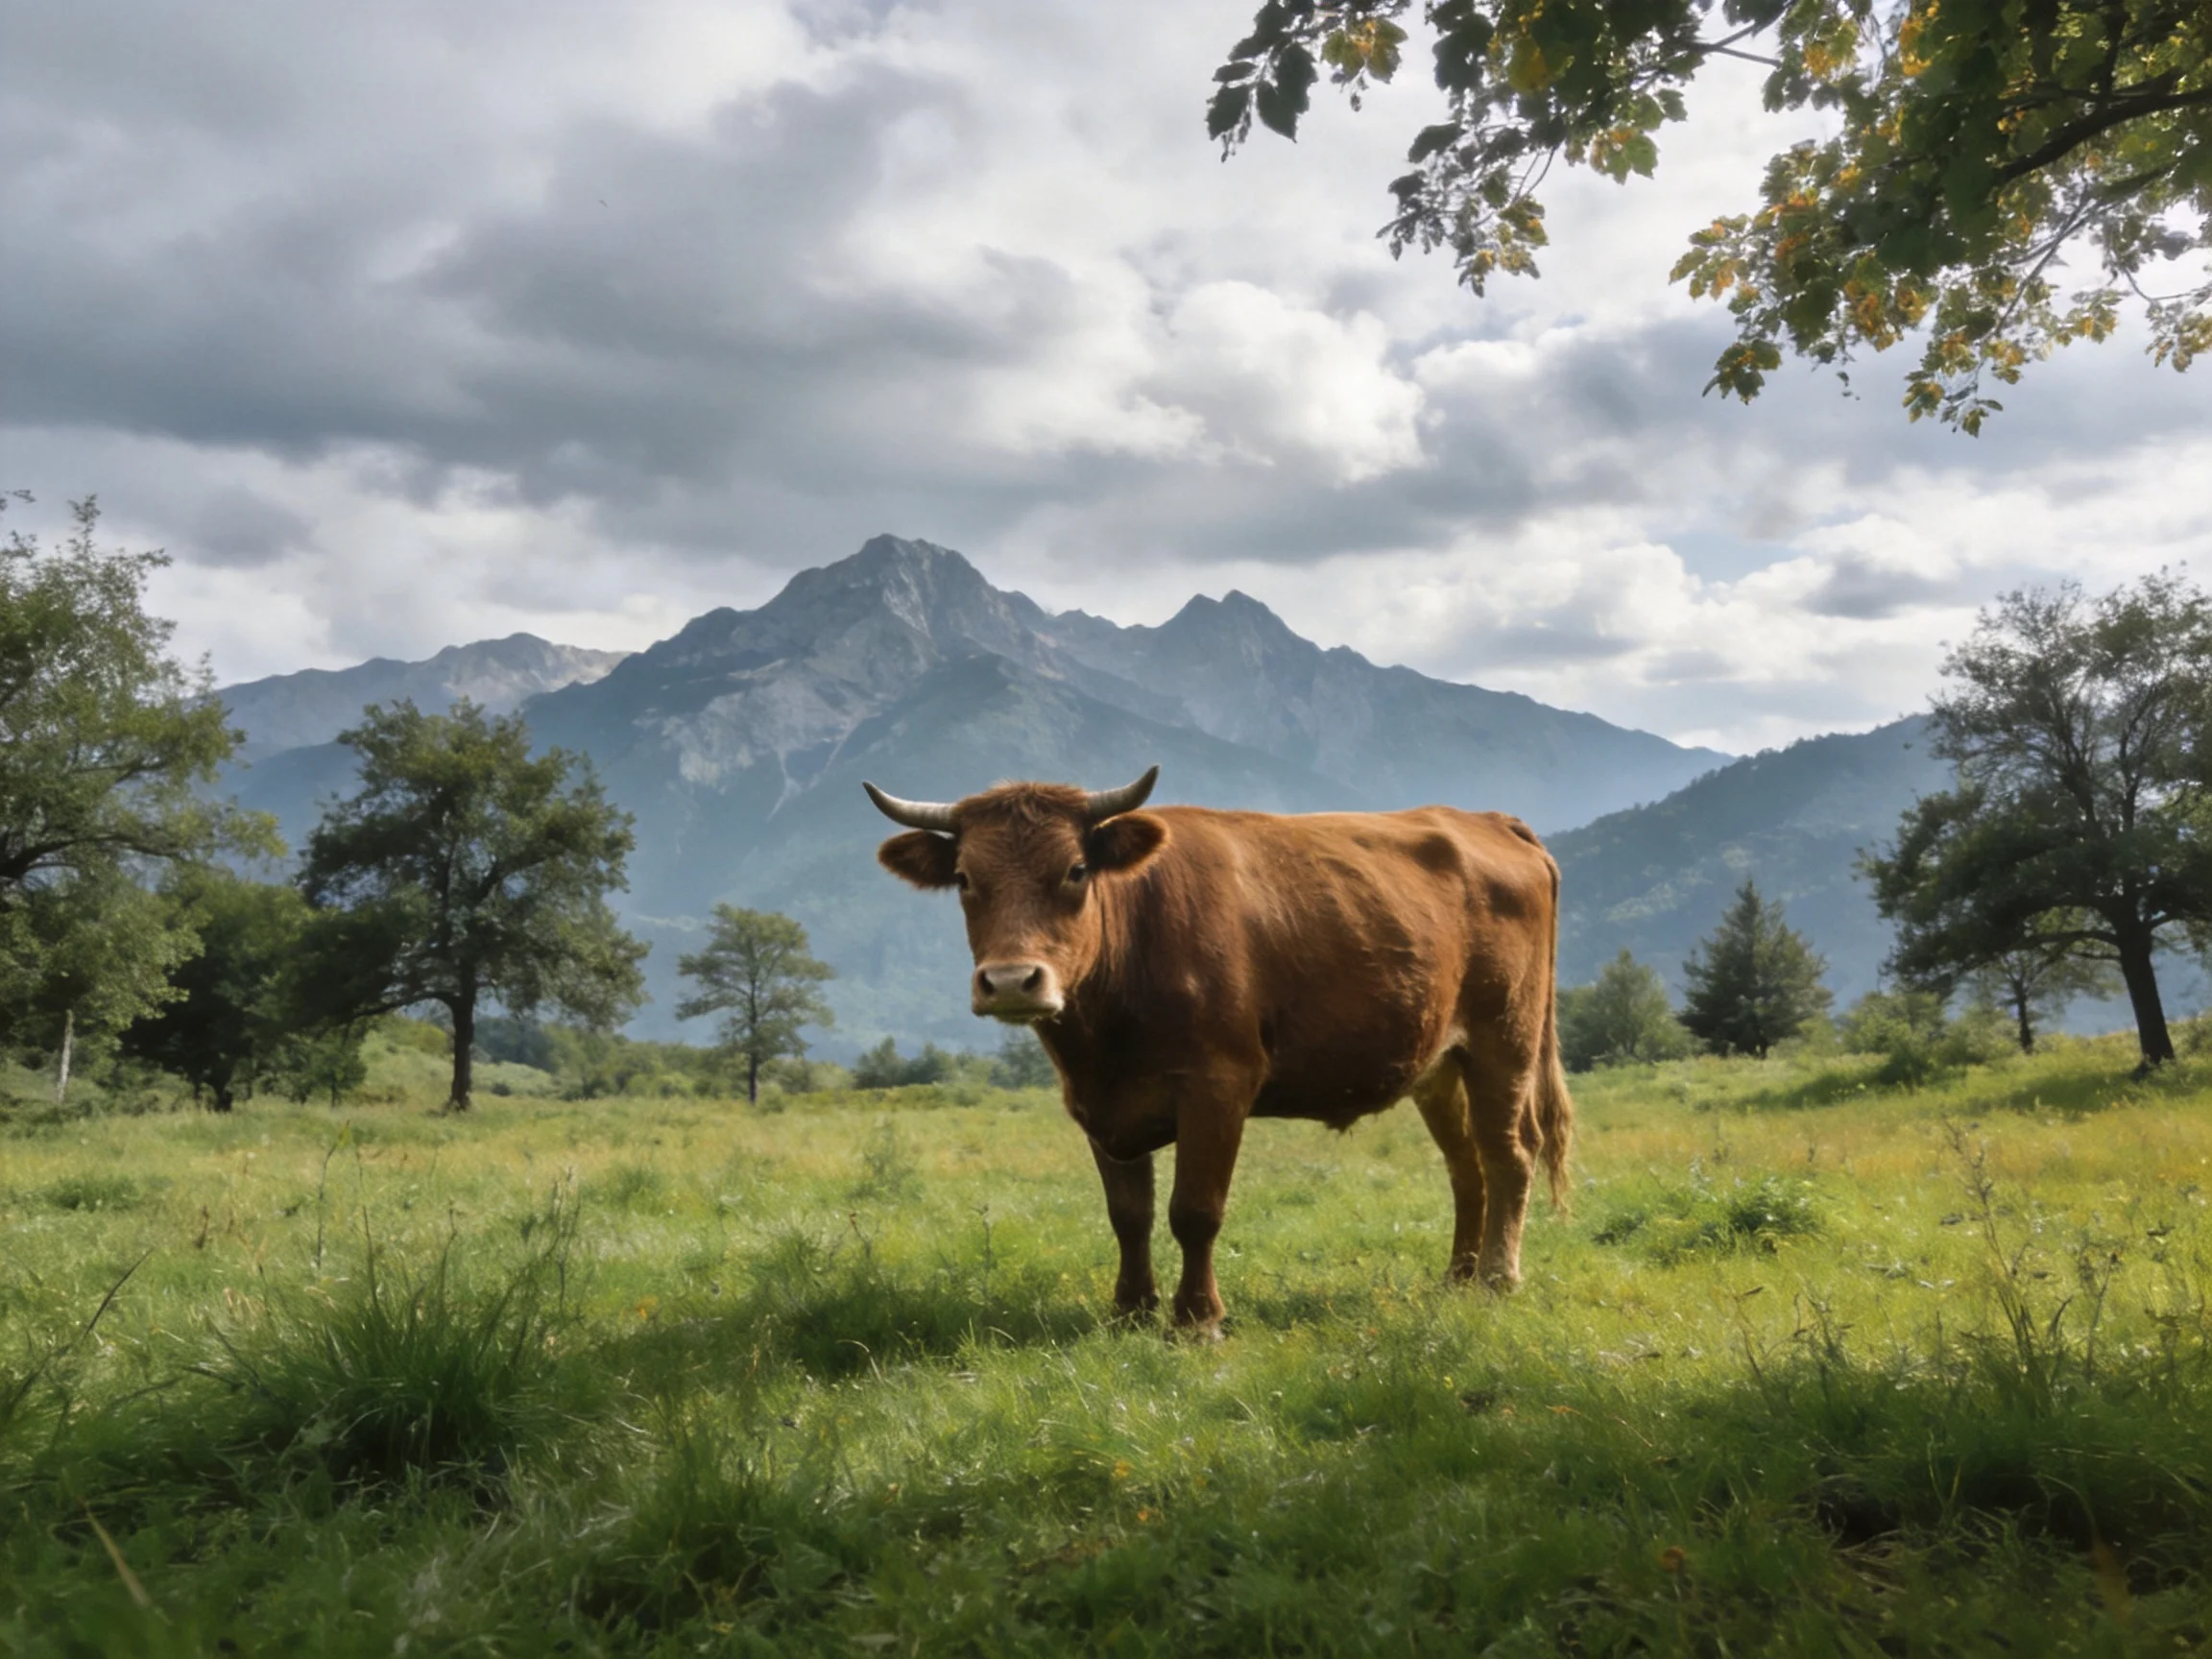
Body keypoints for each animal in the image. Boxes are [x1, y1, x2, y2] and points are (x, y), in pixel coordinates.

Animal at [863, 765, 1573, 1339]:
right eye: (964, 877)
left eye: (1076, 870)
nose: (1012, 981)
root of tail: (1484, 819)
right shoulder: (1098, 1104)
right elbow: (1129, 1215)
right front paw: (1130, 1313)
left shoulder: (1218, 1085)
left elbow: (1195, 1212)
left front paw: (1197, 1320)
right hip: (1438, 1067)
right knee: (1466, 1166)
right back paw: (1458, 1278)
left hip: (1504, 1041)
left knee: (1510, 1155)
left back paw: (1497, 1279)